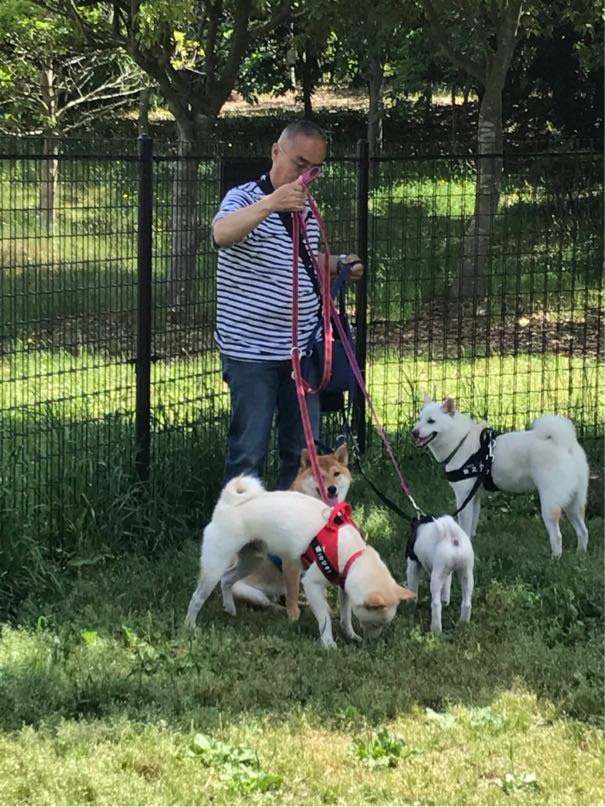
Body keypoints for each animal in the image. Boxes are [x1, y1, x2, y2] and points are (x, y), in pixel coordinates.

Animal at [185, 475, 415, 648]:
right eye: (374, 624)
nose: (373, 642)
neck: (351, 554)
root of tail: (227, 504)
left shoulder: (345, 587)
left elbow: (345, 616)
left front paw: (351, 635)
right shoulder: (311, 585)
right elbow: (325, 618)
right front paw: (329, 644)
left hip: (252, 559)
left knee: (227, 579)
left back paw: (230, 610)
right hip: (215, 566)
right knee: (198, 597)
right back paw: (190, 626)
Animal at [231, 445, 352, 618]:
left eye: (336, 474)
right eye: (319, 476)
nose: (331, 489)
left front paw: (325, 609)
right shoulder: (290, 562)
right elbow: (293, 590)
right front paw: (293, 616)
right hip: (246, 591)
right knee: (269, 603)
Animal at [412, 396, 590, 557]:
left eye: (431, 421)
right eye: (419, 419)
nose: (414, 432)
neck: (460, 441)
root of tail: (565, 444)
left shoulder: (463, 498)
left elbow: (464, 526)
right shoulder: (474, 498)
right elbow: (472, 528)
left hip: (549, 504)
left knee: (557, 536)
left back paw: (555, 559)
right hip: (573, 502)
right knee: (583, 531)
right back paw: (580, 554)